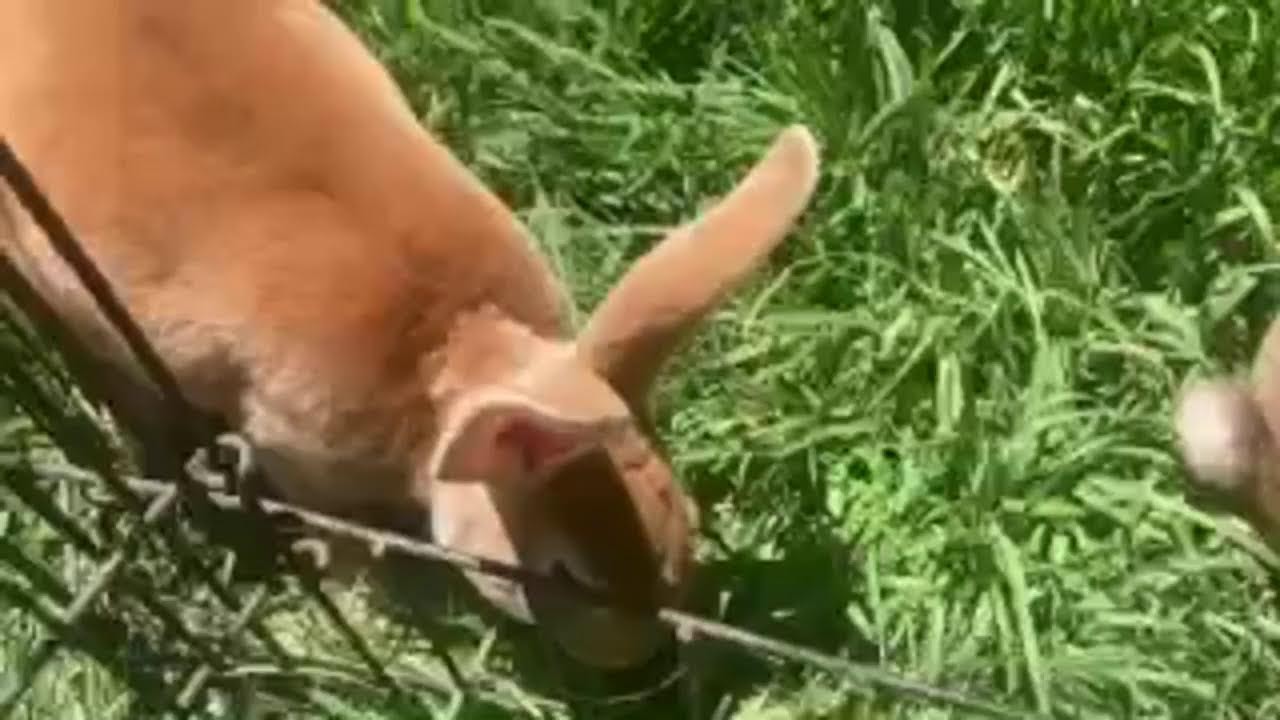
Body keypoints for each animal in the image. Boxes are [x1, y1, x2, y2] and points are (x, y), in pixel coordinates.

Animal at [0, 0, 821, 668]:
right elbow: (344, 540)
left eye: (688, 524)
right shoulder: (296, 453)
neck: (449, 351)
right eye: (568, 577)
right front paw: (364, 606)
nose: (642, 661)